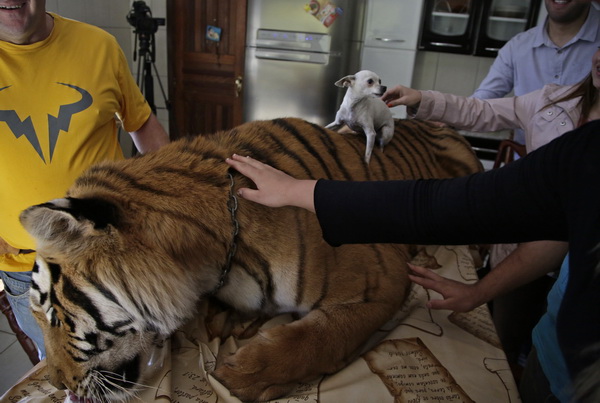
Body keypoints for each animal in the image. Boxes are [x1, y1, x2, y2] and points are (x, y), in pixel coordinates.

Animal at [19, 117, 482, 403]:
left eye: (55, 316)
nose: (57, 383)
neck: (205, 263)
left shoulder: (379, 279)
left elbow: (316, 338)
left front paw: (238, 376)